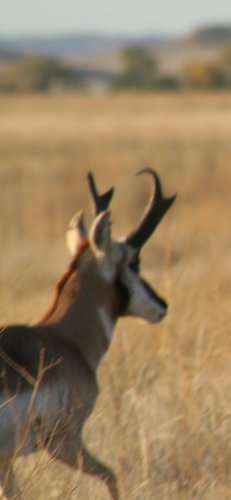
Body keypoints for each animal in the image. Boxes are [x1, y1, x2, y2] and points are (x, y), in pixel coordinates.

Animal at [0, 170, 175, 498]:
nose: (163, 305)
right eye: (134, 262)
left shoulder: (7, 461)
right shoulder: (64, 443)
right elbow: (111, 476)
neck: (64, 339)